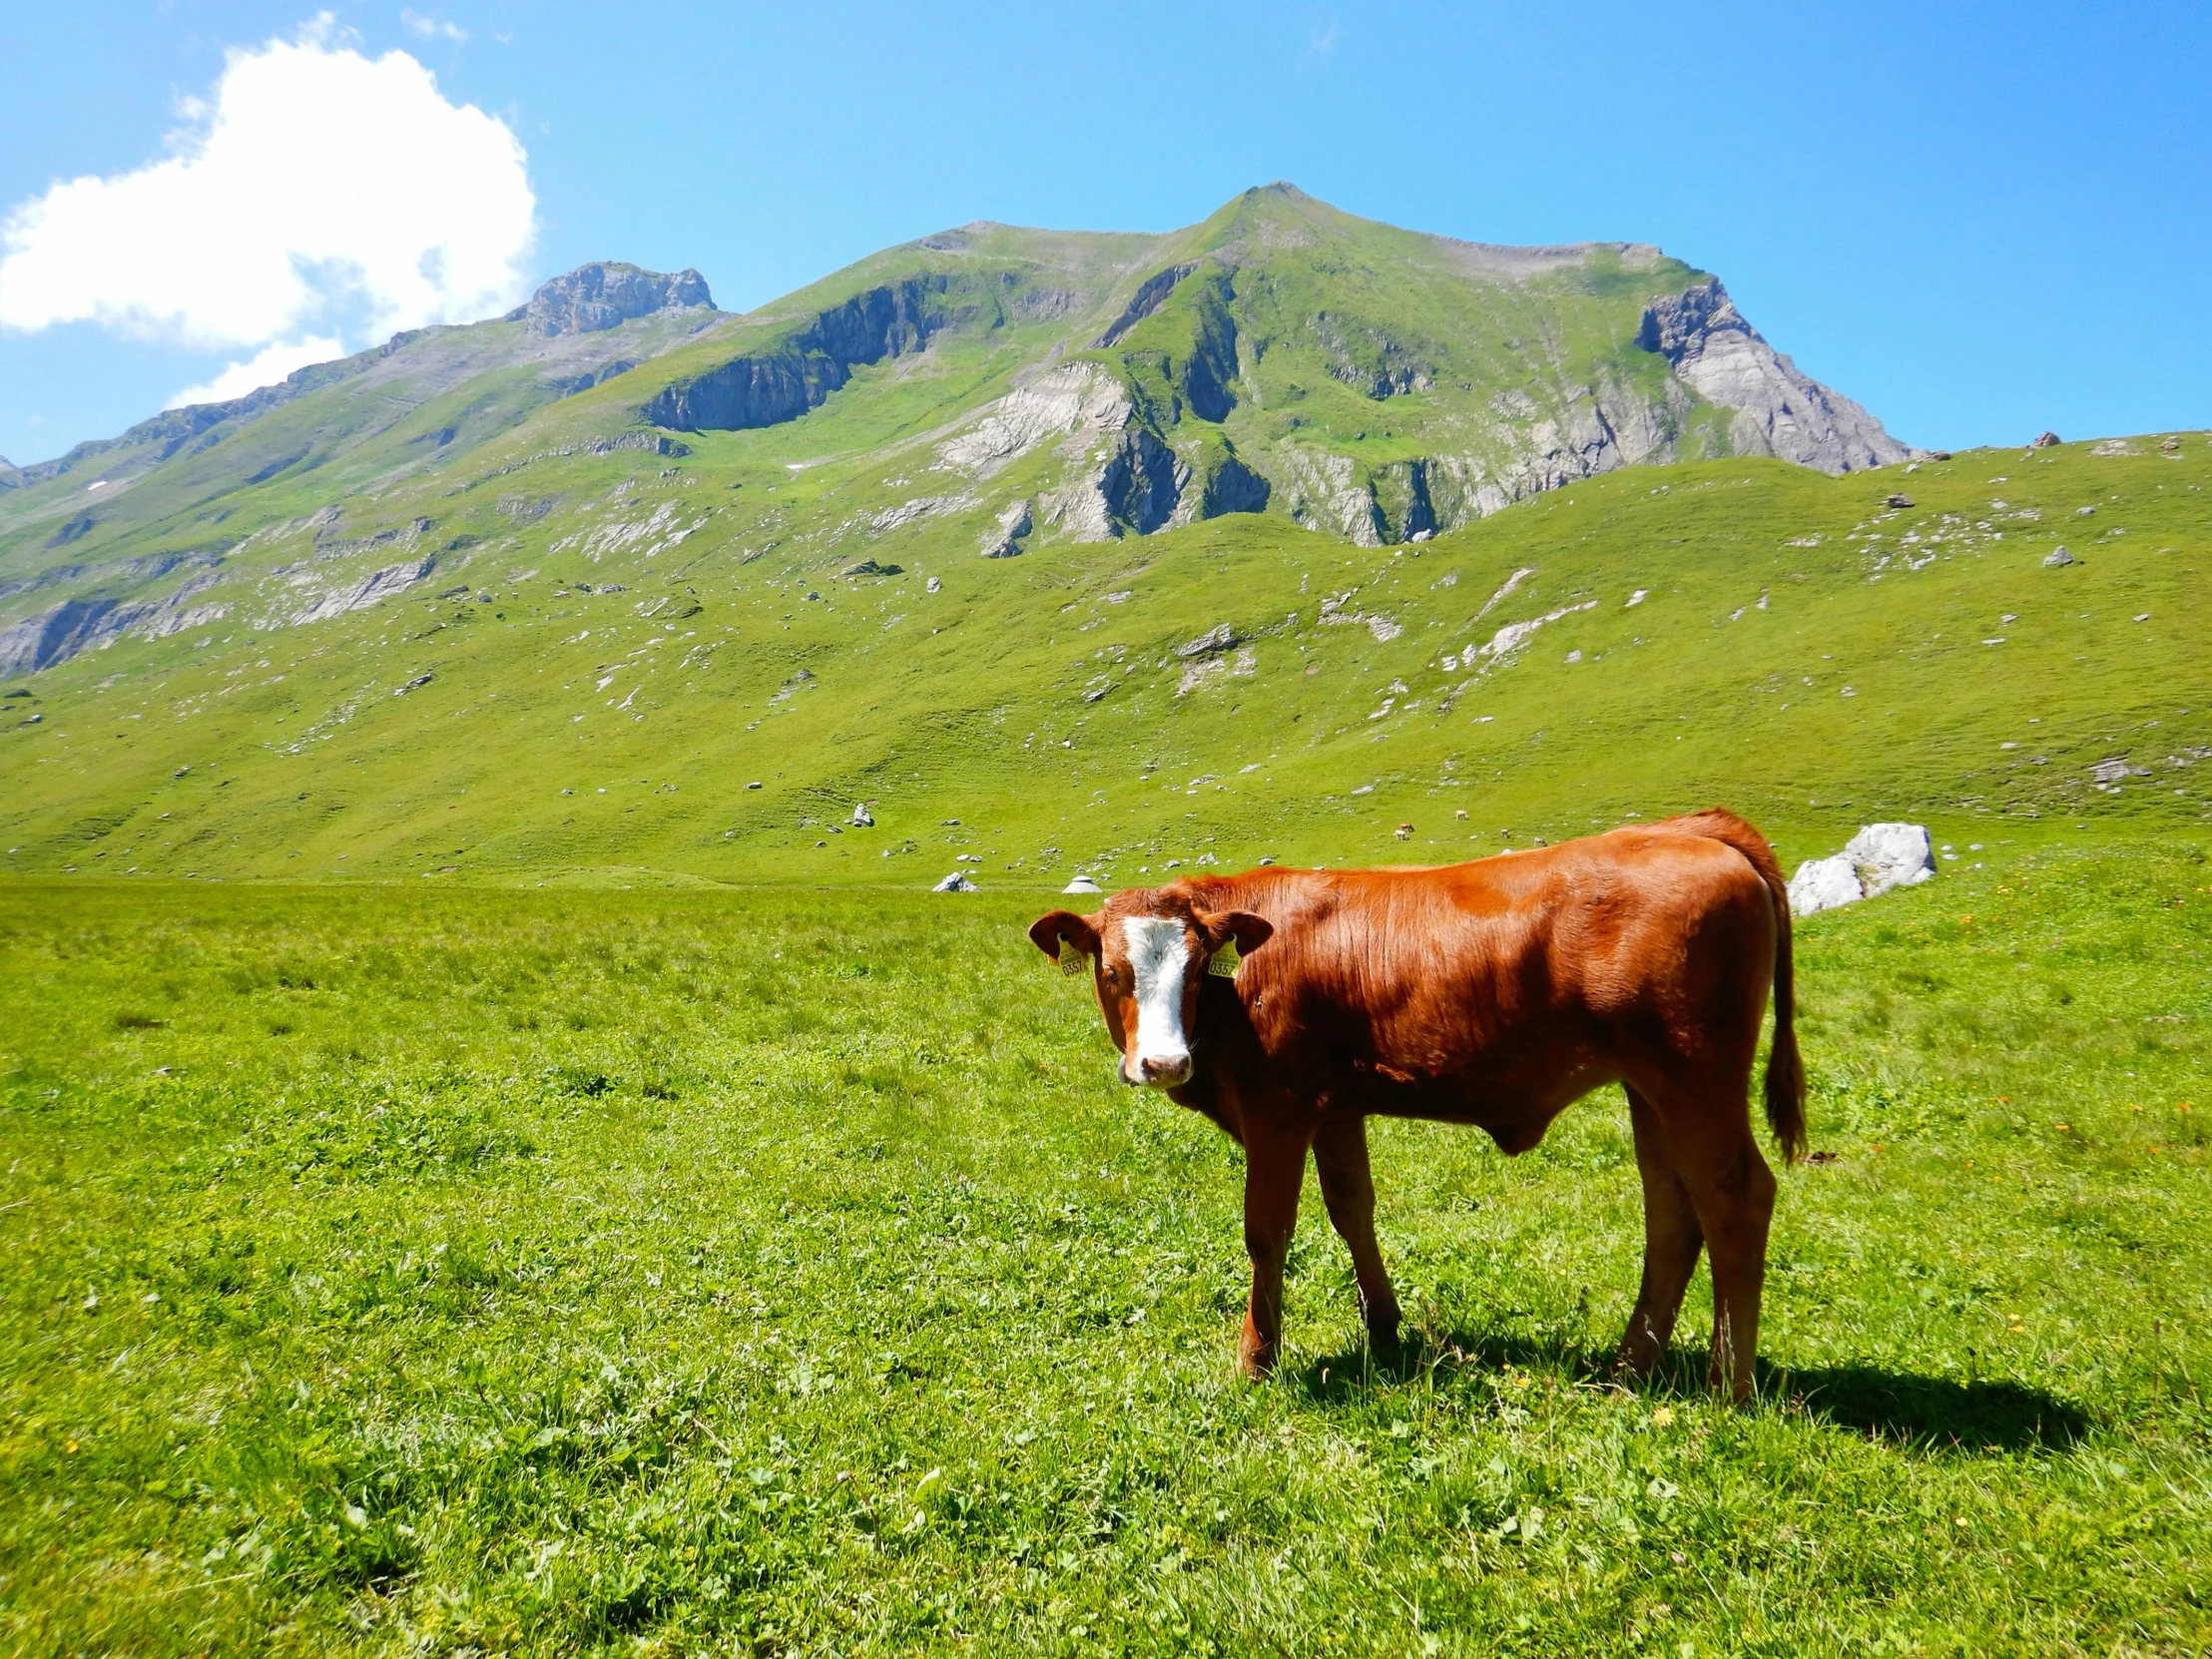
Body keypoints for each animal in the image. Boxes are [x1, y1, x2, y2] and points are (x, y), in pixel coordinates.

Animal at [1026, 805, 1805, 1406]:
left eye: (1193, 971)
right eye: (1111, 970)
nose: (1163, 1063)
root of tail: (1694, 827)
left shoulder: (1279, 1110)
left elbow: (1267, 1231)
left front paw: (1257, 1357)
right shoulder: (1334, 1110)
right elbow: (1352, 1209)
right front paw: (1384, 1325)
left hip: (1695, 1078)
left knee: (1734, 1198)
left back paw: (1729, 1387)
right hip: (1651, 1089)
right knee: (1673, 1211)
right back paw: (1628, 1368)